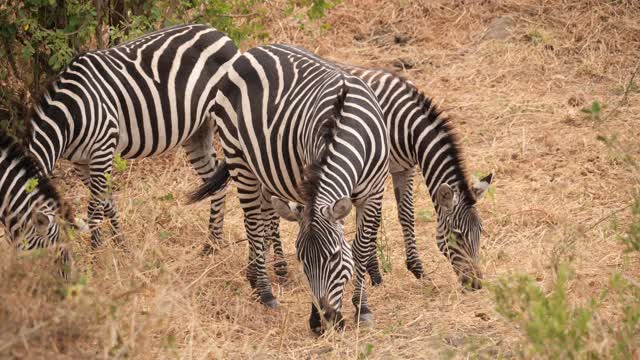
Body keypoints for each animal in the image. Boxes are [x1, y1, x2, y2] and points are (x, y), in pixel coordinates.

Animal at [24, 23, 240, 249]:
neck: (71, 113)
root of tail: (219, 33)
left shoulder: (102, 149)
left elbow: (95, 209)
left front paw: (97, 252)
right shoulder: (81, 162)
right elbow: (108, 203)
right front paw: (120, 245)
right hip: (197, 131)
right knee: (215, 183)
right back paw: (212, 244)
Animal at [188, 45, 390, 334]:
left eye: (335, 256)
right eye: (302, 260)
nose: (323, 320)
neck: (345, 125)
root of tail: (249, 52)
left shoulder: (374, 193)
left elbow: (361, 249)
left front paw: (363, 308)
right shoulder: (309, 179)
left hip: (264, 169)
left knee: (262, 217)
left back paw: (254, 276)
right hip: (239, 158)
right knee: (253, 226)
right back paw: (265, 292)